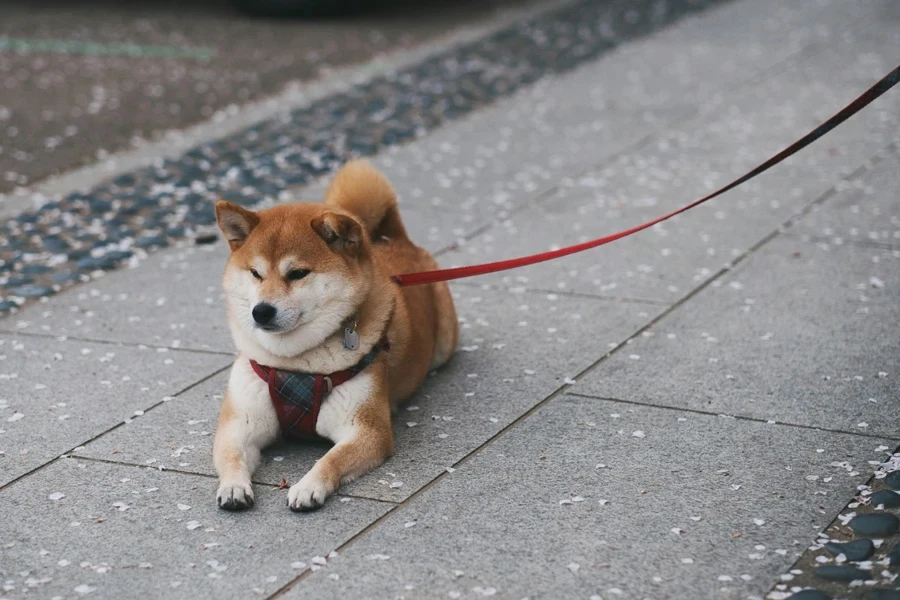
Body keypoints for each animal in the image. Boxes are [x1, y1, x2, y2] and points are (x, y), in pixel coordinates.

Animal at [214, 159, 460, 510]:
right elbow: (231, 455)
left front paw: (307, 486)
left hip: (444, 344)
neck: (295, 363)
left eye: (298, 273)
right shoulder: (240, 423)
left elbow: (331, 459)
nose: (260, 311)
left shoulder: (366, 430)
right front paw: (234, 486)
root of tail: (393, 239)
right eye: (255, 273)